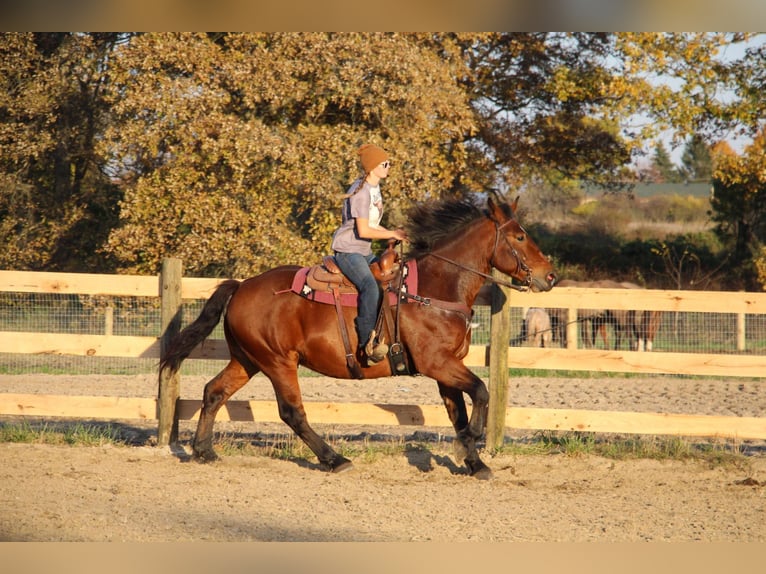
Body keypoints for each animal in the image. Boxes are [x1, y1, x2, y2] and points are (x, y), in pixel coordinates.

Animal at [162, 191, 560, 480]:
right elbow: (481, 391)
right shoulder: (437, 364)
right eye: (520, 236)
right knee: (292, 412)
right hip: (278, 362)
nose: (550, 276)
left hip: (247, 360)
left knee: (214, 392)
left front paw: (475, 462)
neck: (434, 289)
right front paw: (473, 442)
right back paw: (334, 459)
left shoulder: (446, 369)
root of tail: (242, 287)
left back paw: (203, 451)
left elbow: (459, 411)